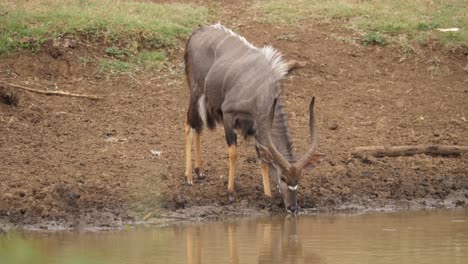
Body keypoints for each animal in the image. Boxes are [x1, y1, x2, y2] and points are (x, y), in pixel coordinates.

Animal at [183, 22, 322, 212]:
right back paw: (188, 176)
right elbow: (234, 153)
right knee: (188, 124)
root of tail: (195, 34)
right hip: (196, 91)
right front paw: (230, 193)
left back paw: (200, 171)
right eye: (283, 177)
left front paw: (267, 195)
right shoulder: (229, 115)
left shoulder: (256, 126)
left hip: (206, 100)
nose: (292, 207)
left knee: (198, 127)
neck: (260, 90)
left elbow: (262, 159)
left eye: (298, 179)